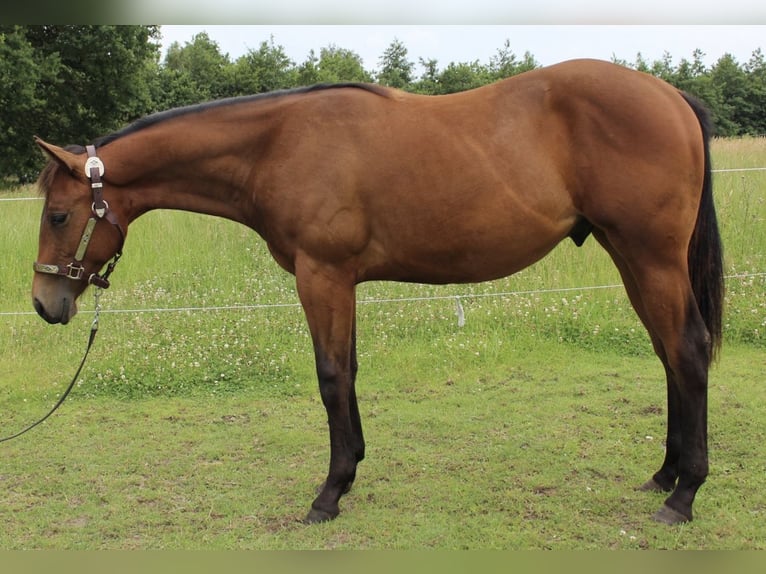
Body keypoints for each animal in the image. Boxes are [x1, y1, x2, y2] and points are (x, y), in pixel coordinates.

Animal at [31, 58, 724, 526]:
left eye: (59, 215)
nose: (45, 303)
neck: (276, 145)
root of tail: (671, 95)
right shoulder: (344, 282)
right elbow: (351, 371)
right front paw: (353, 470)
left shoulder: (322, 275)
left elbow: (331, 375)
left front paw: (329, 493)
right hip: (630, 257)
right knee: (668, 354)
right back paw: (664, 475)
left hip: (651, 257)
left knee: (687, 351)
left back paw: (685, 494)